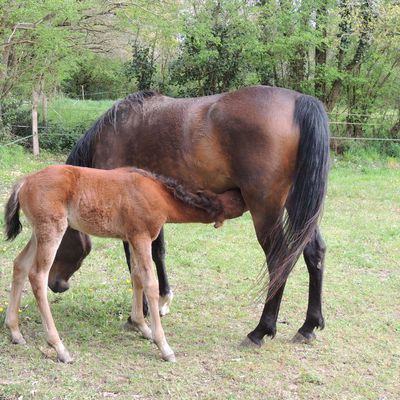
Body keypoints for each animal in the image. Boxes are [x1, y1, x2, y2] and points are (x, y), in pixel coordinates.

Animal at [4, 165, 245, 362]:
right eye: (234, 199)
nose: (244, 195)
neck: (160, 195)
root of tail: (25, 181)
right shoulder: (141, 237)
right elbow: (149, 283)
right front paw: (163, 345)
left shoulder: (132, 238)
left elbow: (136, 276)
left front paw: (142, 326)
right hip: (52, 229)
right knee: (37, 275)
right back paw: (59, 348)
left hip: (38, 233)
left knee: (20, 264)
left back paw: (15, 332)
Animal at [48, 86, 330, 346]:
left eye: (53, 242)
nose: (55, 284)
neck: (111, 135)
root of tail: (299, 100)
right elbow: (157, 253)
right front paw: (162, 301)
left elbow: (136, 264)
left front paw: (140, 314)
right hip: (297, 207)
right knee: (313, 252)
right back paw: (308, 326)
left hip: (266, 211)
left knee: (278, 260)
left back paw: (261, 330)